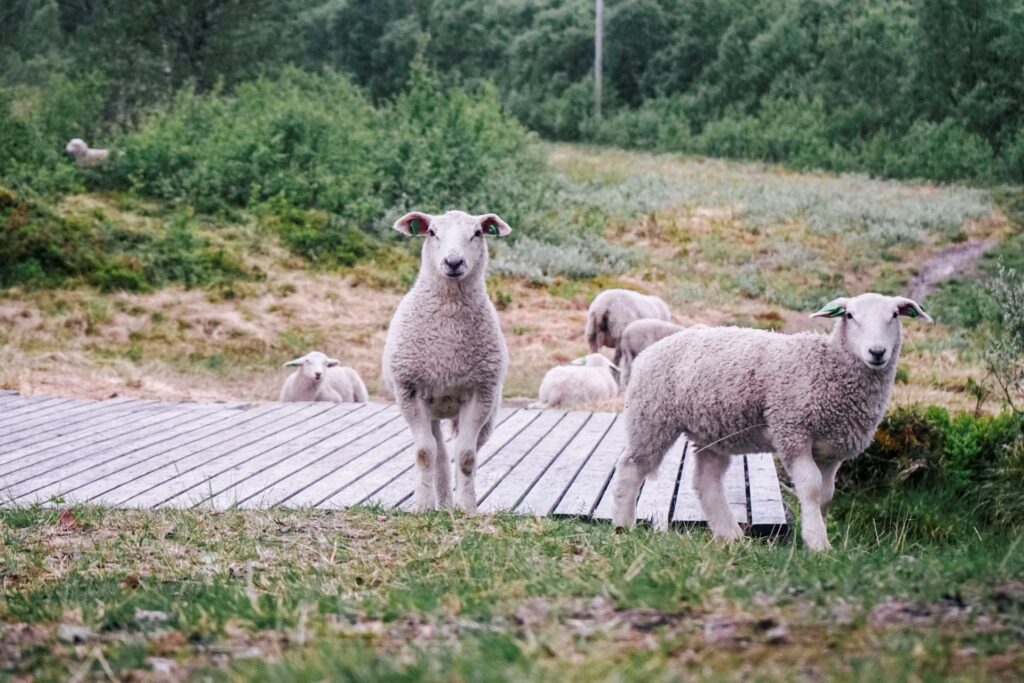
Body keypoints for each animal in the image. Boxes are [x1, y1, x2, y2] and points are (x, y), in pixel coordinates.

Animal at [380, 208, 512, 511]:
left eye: (477, 233)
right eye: (432, 232)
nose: (453, 262)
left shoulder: (481, 394)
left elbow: (466, 456)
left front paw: (467, 509)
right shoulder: (409, 391)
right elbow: (425, 453)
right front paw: (423, 507)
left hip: (486, 412)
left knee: (466, 449)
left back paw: (452, 503)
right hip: (431, 410)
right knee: (438, 451)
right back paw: (441, 503)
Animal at [610, 292, 933, 548]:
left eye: (894, 315)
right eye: (850, 316)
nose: (877, 352)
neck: (830, 365)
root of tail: (648, 353)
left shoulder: (831, 451)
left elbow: (826, 494)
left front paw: (819, 532)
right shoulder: (793, 431)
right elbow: (811, 488)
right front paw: (817, 543)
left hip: (713, 431)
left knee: (706, 481)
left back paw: (730, 535)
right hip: (651, 417)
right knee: (631, 467)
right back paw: (623, 525)